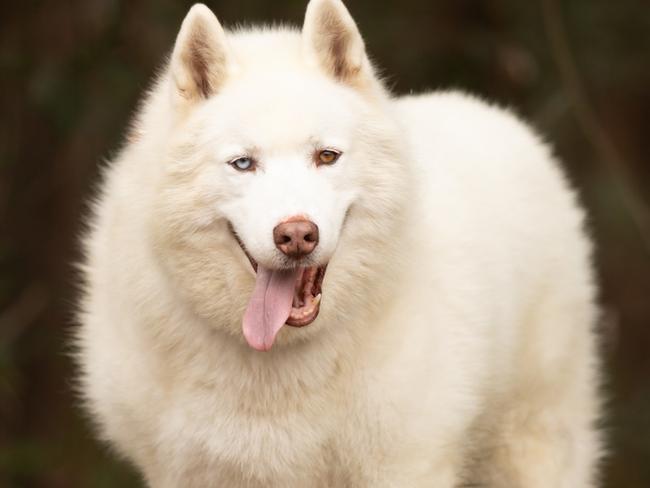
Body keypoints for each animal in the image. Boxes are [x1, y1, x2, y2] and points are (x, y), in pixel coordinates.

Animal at [77, 0, 604, 484]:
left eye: (326, 156)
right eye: (243, 163)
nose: (296, 235)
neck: (277, 365)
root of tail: (488, 111)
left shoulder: (405, 466)